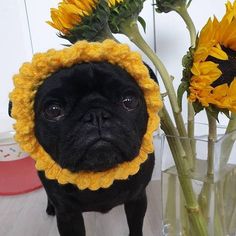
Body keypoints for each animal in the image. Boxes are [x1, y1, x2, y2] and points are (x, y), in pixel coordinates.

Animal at [9, 61, 158, 236]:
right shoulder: (67, 214)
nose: (96, 115)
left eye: (129, 101)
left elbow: (136, 227)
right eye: (53, 110)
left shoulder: (137, 199)